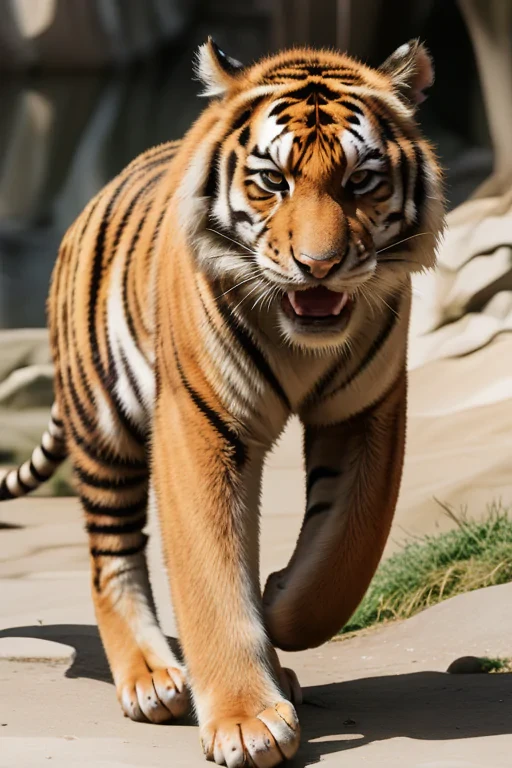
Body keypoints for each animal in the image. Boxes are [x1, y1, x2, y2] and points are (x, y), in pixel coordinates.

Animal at [0, 37, 444, 766]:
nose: (319, 266)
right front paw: (245, 720)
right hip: (105, 427)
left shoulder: (367, 410)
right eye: (272, 181)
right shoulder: (199, 422)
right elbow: (210, 570)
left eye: (360, 181)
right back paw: (152, 680)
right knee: (110, 558)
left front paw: (281, 605)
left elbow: (349, 547)